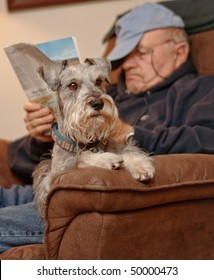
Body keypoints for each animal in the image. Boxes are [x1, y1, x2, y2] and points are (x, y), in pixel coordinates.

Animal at [33, 57, 154, 217]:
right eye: (72, 85)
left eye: (98, 81)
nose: (98, 103)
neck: (87, 139)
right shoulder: (56, 174)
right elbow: (80, 158)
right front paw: (107, 159)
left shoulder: (119, 145)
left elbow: (129, 151)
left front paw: (141, 167)